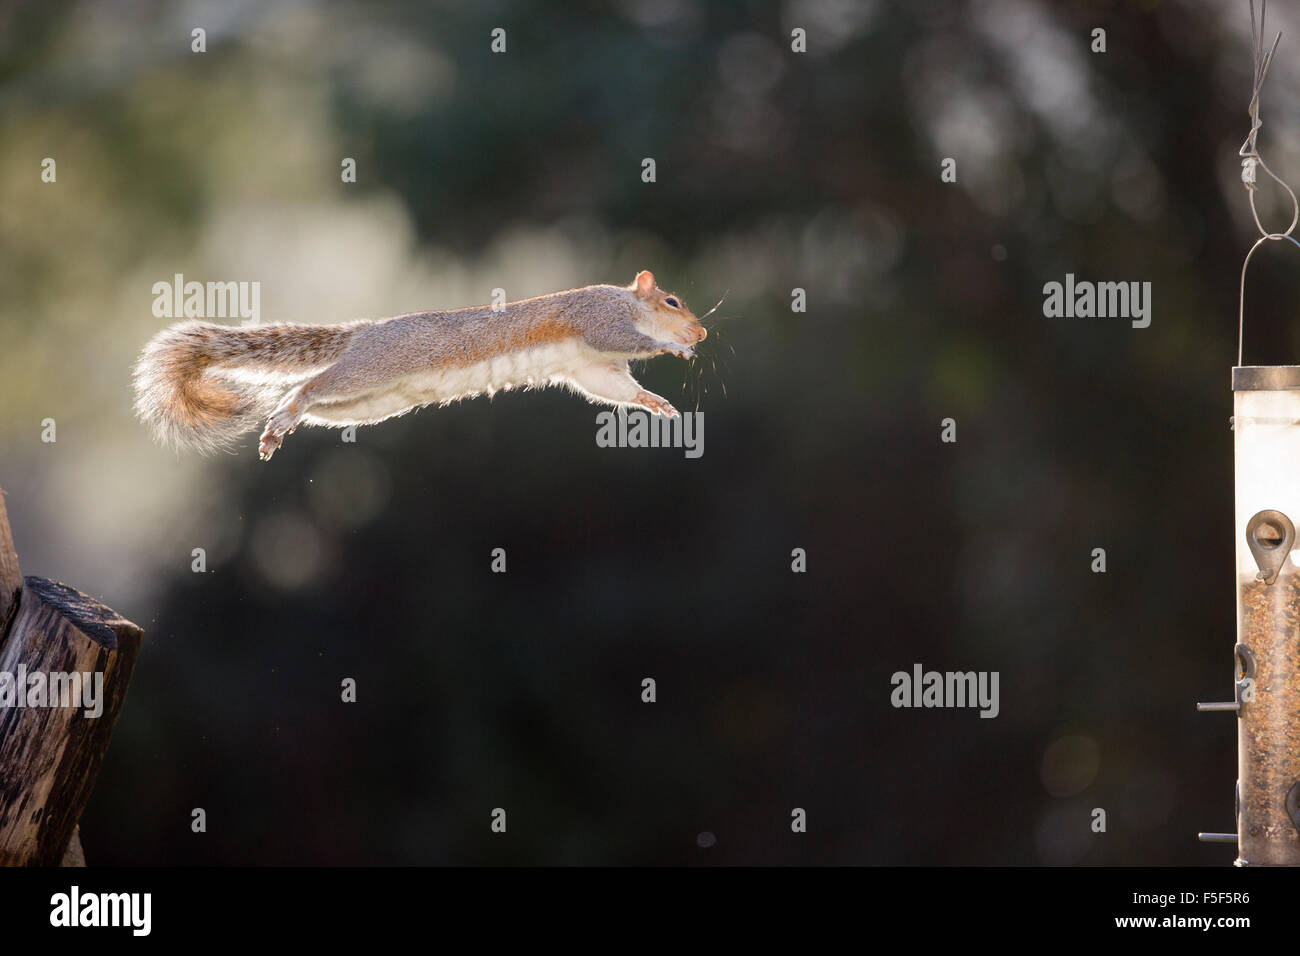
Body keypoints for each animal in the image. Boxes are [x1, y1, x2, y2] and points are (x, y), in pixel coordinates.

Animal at [132, 270, 707, 460]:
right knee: (311, 385)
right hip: (370, 371)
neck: (628, 301)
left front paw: (655, 402)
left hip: (368, 404)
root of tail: (365, 333)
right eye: (673, 301)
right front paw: (674, 350)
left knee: (313, 405)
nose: (701, 333)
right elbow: (628, 339)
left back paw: (281, 426)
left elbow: (613, 388)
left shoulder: (593, 367)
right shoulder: (597, 321)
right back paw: (286, 411)